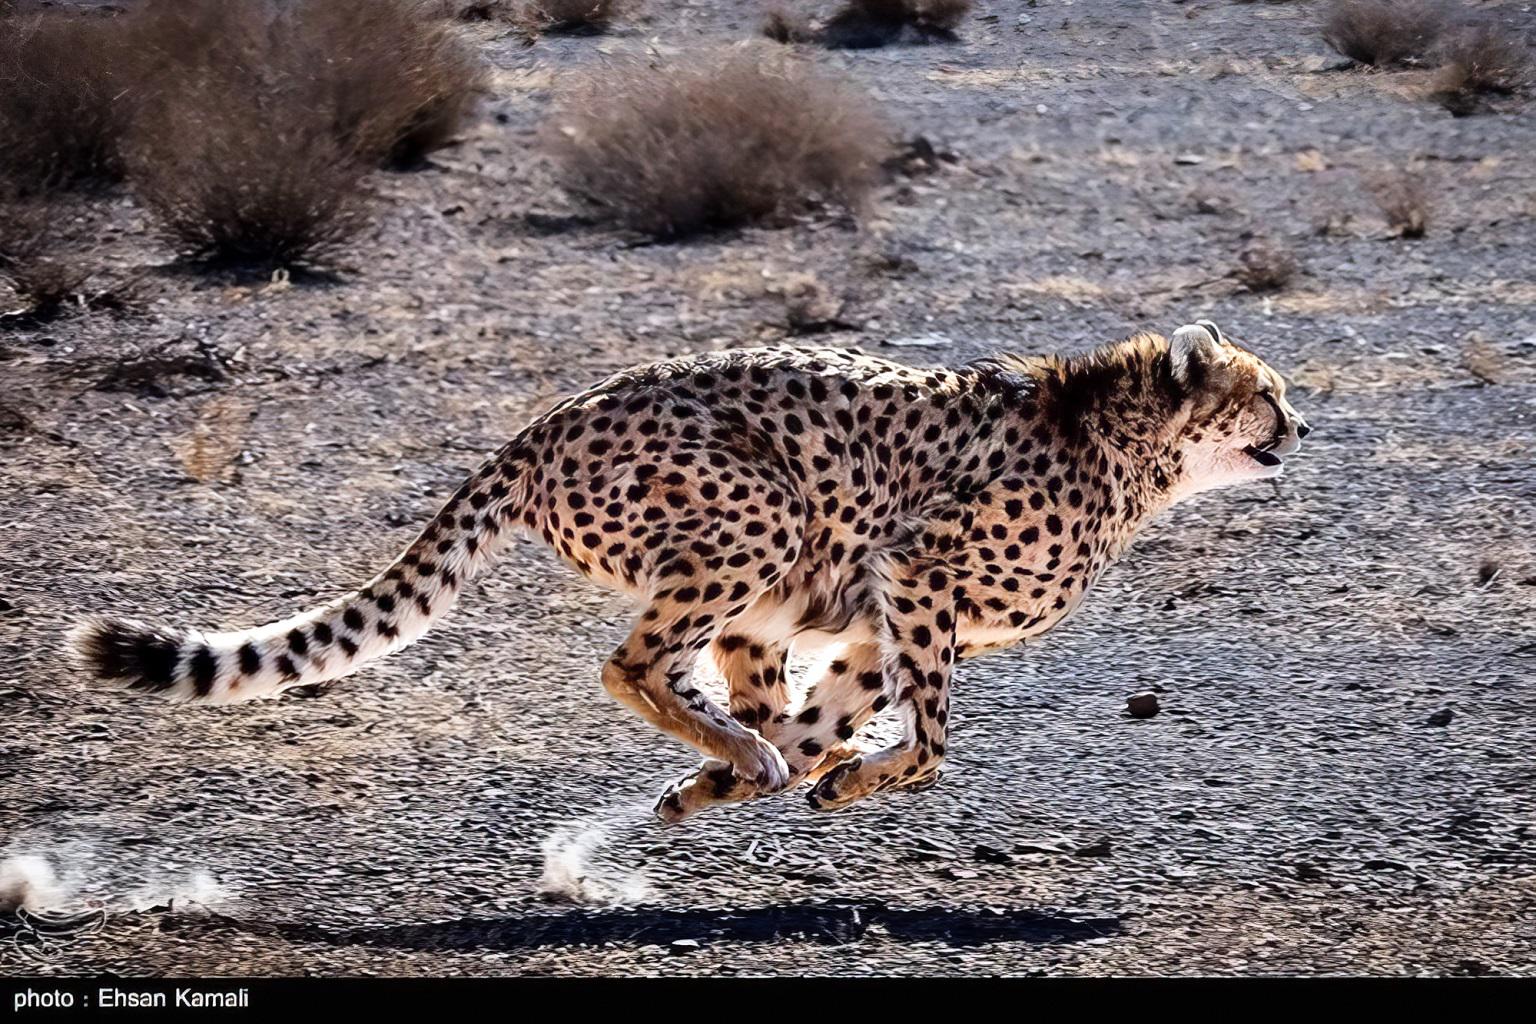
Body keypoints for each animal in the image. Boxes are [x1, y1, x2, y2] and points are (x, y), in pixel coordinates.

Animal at [68, 320, 1310, 823]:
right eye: (1266, 391)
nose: (1302, 426)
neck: (1128, 448)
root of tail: (546, 421)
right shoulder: (918, 574)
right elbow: (933, 745)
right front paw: (837, 778)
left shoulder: (877, 617)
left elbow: (840, 719)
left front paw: (729, 786)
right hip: (760, 512)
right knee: (629, 664)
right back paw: (742, 751)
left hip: (768, 584)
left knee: (714, 680)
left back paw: (736, 757)